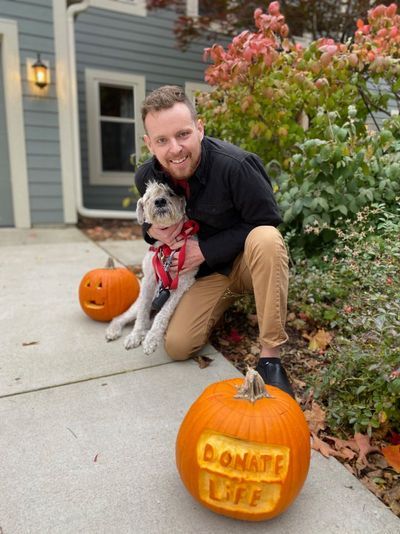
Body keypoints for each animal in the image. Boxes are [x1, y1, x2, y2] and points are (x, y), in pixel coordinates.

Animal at [104, 181, 198, 356]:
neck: (166, 247)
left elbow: (163, 314)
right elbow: (142, 314)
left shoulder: (181, 284)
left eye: (170, 193)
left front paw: (151, 339)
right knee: (121, 317)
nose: (160, 201)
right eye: (148, 197)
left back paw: (146, 333)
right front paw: (134, 336)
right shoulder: (148, 281)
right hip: (135, 305)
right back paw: (114, 331)